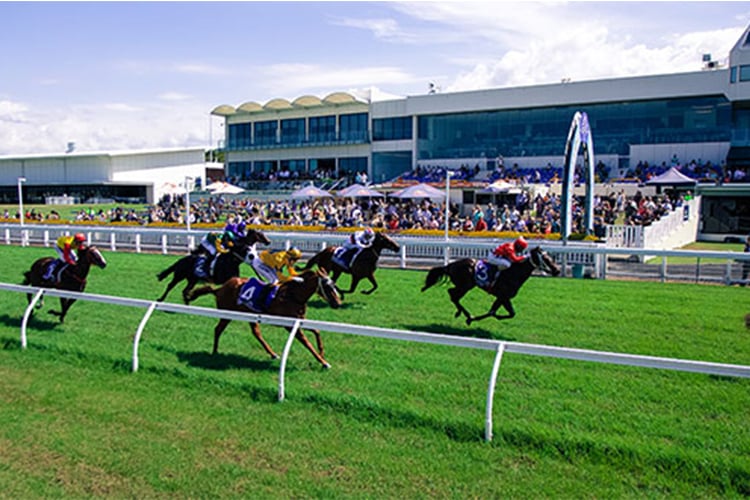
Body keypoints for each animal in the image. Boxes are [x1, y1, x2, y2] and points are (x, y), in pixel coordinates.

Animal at [187, 270, 342, 368]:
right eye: (327, 286)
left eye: (334, 285)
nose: (338, 303)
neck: (293, 295)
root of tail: (219, 289)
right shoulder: (289, 325)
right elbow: (307, 343)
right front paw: (323, 362)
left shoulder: (298, 321)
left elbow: (316, 331)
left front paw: (322, 352)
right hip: (227, 315)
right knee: (218, 330)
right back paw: (215, 351)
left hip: (250, 315)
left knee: (256, 333)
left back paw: (272, 354)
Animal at [420, 245, 560, 324]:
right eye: (546, 259)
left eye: (551, 257)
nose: (557, 270)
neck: (514, 273)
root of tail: (449, 265)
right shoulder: (503, 296)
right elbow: (497, 312)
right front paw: (471, 319)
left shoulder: (502, 297)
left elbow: (504, 313)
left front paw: (476, 318)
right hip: (465, 285)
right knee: (452, 294)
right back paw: (465, 314)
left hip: (466, 286)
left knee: (453, 295)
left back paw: (461, 313)